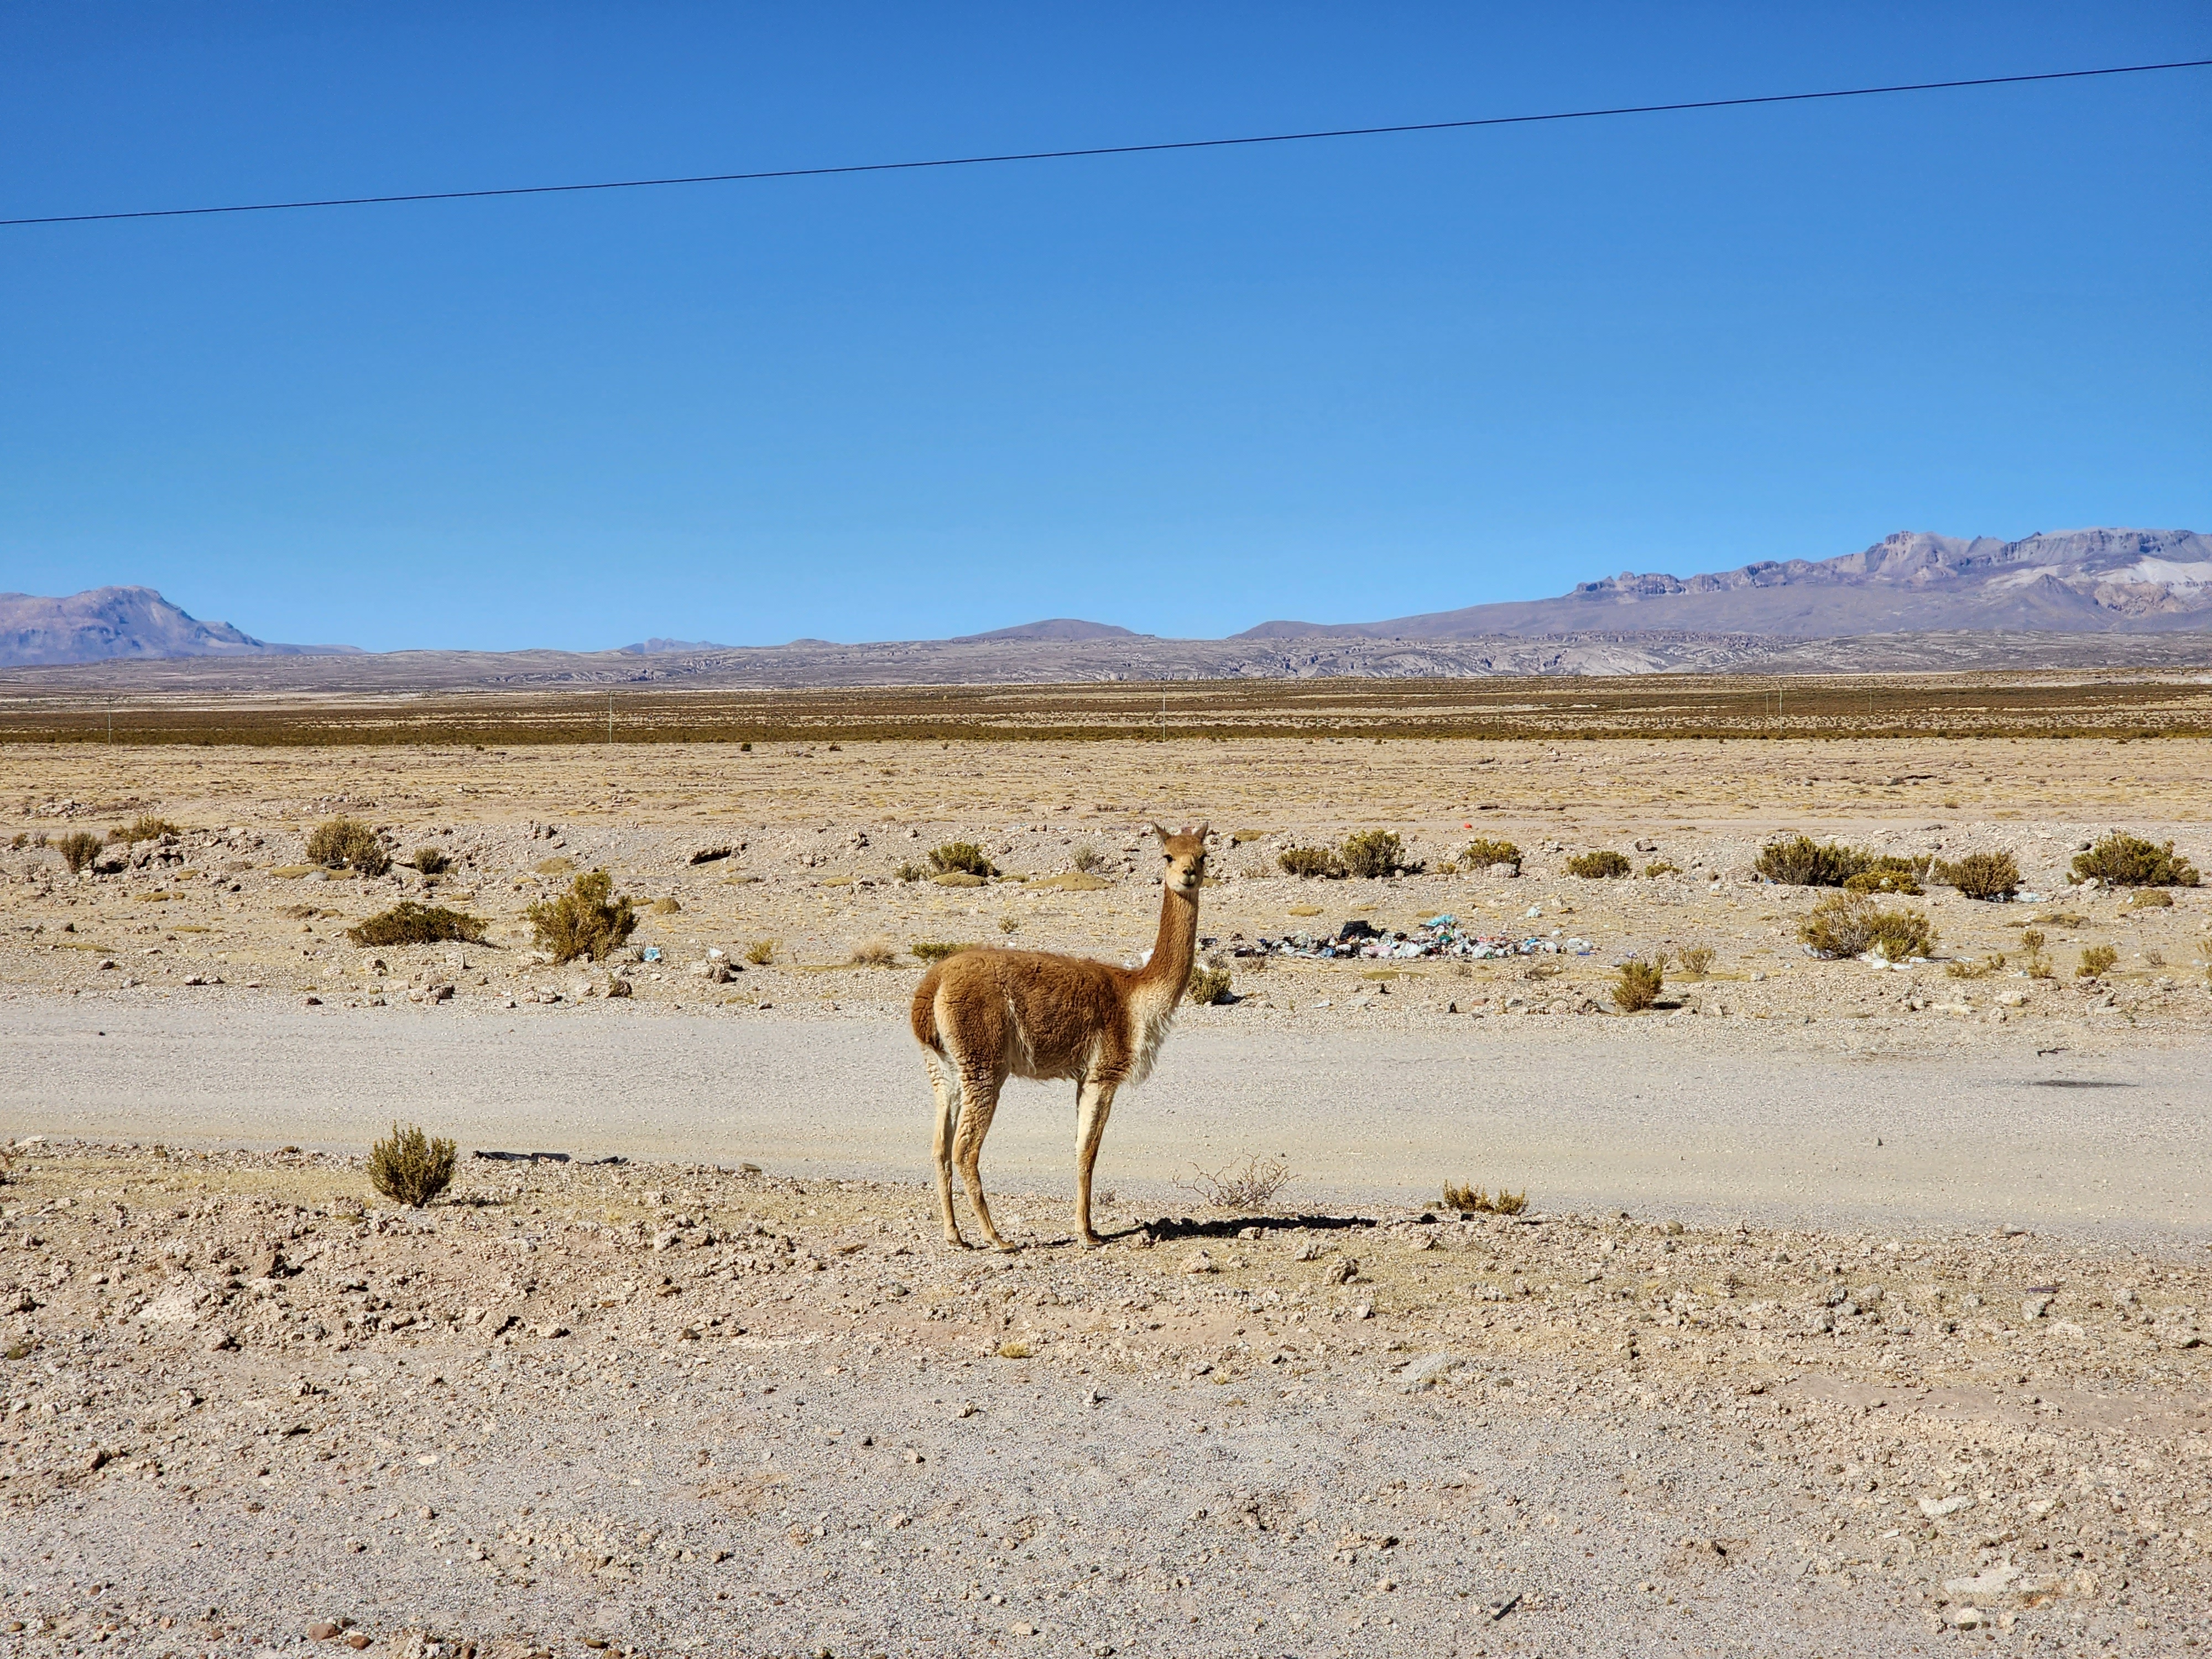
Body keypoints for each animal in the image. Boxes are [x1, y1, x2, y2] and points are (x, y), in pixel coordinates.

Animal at [910, 822, 1209, 1251]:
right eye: (1167, 855)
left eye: (1203, 855)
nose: (1188, 874)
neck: (1136, 995)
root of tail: (932, 986)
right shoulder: (1104, 1073)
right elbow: (1089, 1152)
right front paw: (1087, 1234)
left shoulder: (1084, 1076)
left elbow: (1079, 1148)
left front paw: (1088, 1227)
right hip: (983, 1063)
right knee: (964, 1150)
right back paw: (996, 1238)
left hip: (943, 1068)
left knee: (939, 1147)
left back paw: (955, 1235)